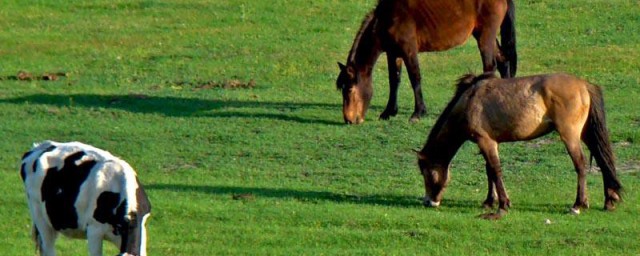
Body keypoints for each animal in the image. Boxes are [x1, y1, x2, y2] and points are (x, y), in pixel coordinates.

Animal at [338, 0, 516, 124]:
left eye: (350, 89)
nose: (349, 119)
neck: (389, 17)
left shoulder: (409, 50)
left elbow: (415, 78)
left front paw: (418, 113)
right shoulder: (394, 54)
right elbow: (394, 80)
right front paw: (389, 112)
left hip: (486, 36)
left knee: (490, 66)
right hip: (481, 35)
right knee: (504, 61)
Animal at [418, 73, 624, 219]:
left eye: (427, 173)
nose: (428, 201)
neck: (470, 101)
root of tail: (584, 85)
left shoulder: (485, 141)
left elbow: (495, 170)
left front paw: (503, 204)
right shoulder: (491, 143)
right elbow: (489, 171)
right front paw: (489, 201)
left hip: (570, 136)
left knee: (580, 165)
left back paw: (577, 205)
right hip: (586, 133)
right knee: (603, 159)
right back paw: (609, 199)